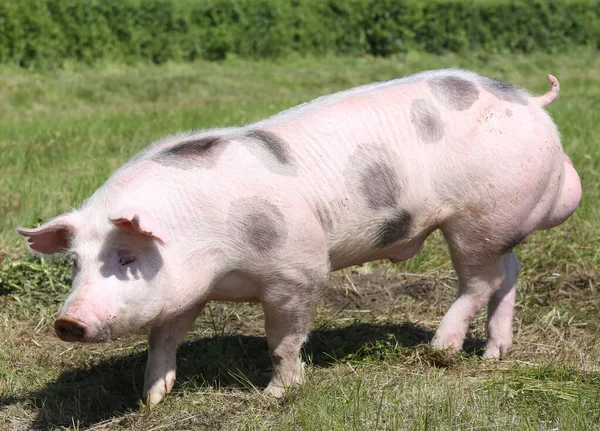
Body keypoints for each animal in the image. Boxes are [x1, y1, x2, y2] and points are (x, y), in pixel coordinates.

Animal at [17, 69, 580, 406]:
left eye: (127, 256)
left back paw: (440, 350)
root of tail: (532, 101)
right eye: (75, 263)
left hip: (475, 217)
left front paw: (273, 397)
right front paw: (151, 400)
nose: (68, 321)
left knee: (479, 282)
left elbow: (283, 340)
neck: (211, 252)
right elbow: (164, 337)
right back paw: (493, 355)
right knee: (508, 273)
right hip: (497, 222)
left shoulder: (299, 269)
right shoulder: (186, 288)